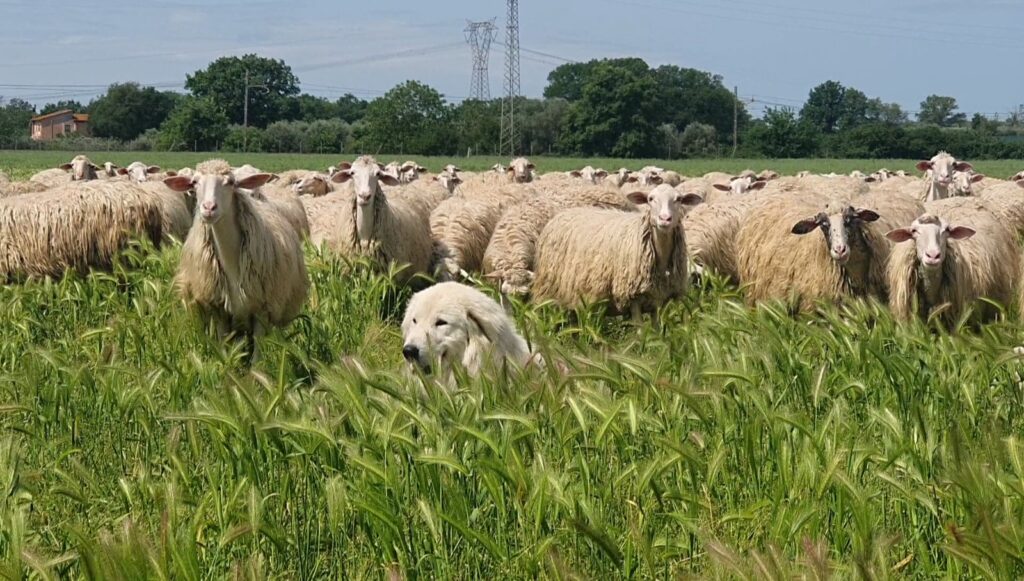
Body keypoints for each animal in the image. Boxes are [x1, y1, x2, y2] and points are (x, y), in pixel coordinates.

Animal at [165, 167, 308, 359]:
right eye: (194, 182)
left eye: (231, 182)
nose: (209, 208)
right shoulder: (219, 310)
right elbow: (226, 350)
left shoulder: (262, 311)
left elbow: (257, 357)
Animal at [532, 184, 702, 319]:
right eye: (650, 199)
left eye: (679, 199)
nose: (665, 219)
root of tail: (561, 214)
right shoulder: (632, 297)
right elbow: (641, 334)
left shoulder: (658, 299)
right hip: (548, 291)